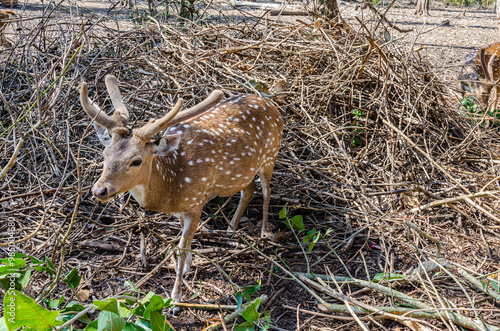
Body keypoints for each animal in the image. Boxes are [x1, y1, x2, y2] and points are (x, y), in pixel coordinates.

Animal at [80, 74, 284, 312]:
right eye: (105, 154)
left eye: (136, 160)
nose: (99, 189)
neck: (172, 188)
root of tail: (272, 105)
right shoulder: (182, 209)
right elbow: (184, 242)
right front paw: (187, 266)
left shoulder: (197, 203)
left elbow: (180, 247)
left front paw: (176, 298)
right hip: (244, 172)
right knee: (249, 189)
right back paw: (230, 231)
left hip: (270, 155)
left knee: (267, 191)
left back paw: (264, 231)